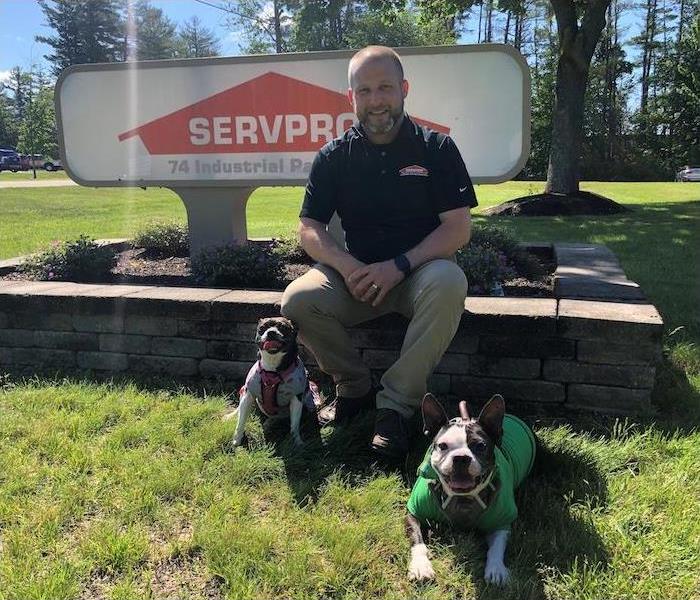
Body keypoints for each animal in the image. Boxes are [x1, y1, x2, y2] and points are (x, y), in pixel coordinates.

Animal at [231, 316, 318, 448]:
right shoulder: (248, 395)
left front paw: (297, 441)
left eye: (283, 327)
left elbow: (294, 424)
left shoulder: (296, 399)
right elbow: (241, 421)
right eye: (262, 328)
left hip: (308, 405)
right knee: (240, 409)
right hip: (244, 393)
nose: (271, 332)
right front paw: (237, 440)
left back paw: (270, 423)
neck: (272, 371)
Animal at [404, 394, 536, 584]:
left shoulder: (502, 522)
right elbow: (417, 540)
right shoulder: (413, 512)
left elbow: (496, 547)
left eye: (480, 446)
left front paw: (496, 569)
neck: (463, 498)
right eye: (442, 446)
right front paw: (421, 566)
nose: (461, 458)